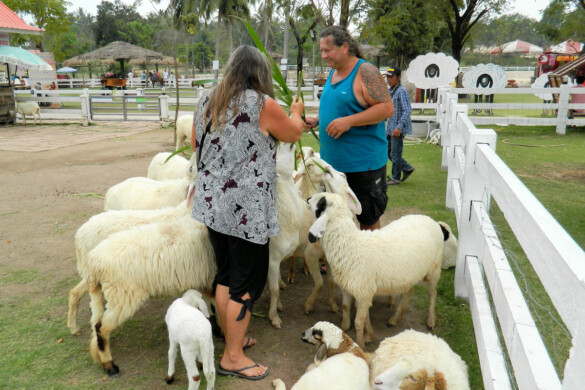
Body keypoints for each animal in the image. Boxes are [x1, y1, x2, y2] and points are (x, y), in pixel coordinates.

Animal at [85, 215, 216, 376]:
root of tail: (94, 262)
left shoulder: (206, 281)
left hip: (102, 294)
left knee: (95, 324)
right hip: (122, 296)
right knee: (101, 328)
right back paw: (110, 365)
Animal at [306, 192, 442, 348]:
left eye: (321, 202)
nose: (307, 199)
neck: (350, 246)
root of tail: (431, 220)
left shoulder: (363, 292)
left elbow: (359, 322)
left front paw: (361, 344)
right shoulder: (351, 289)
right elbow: (347, 307)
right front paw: (353, 330)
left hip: (434, 268)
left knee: (432, 294)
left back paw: (430, 321)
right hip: (408, 274)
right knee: (408, 292)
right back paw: (395, 319)